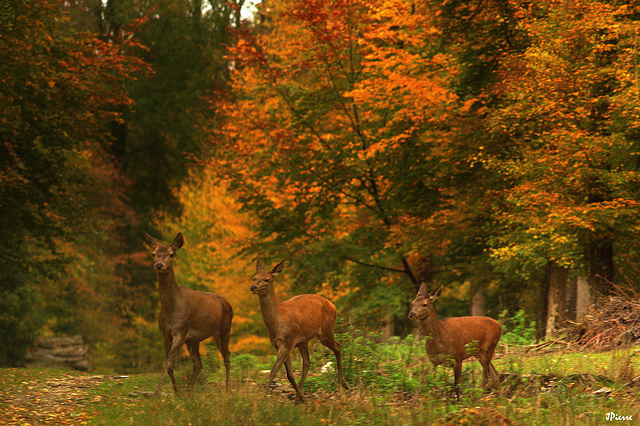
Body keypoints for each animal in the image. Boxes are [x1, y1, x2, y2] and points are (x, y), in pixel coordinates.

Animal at [144, 233, 234, 396]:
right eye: (153, 253)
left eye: (171, 254)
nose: (159, 265)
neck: (171, 309)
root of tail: (228, 303)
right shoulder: (166, 334)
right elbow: (169, 364)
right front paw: (176, 392)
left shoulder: (180, 330)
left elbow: (167, 362)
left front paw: (156, 393)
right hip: (194, 340)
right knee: (198, 364)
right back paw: (188, 391)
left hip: (225, 329)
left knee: (227, 355)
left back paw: (227, 388)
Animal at [250, 258, 350, 402]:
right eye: (254, 278)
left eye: (267, 279)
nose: (253, 287)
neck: (277, 324)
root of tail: (332, 305)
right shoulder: (280, 344)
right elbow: (290, 374)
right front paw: (301, 396)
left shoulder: (287, 341)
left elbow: (274, 371)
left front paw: (263, 397)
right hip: (304, 340)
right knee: (307, 362)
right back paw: (299, 397)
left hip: (326, 330)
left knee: (338, 346)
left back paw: (343, 383)